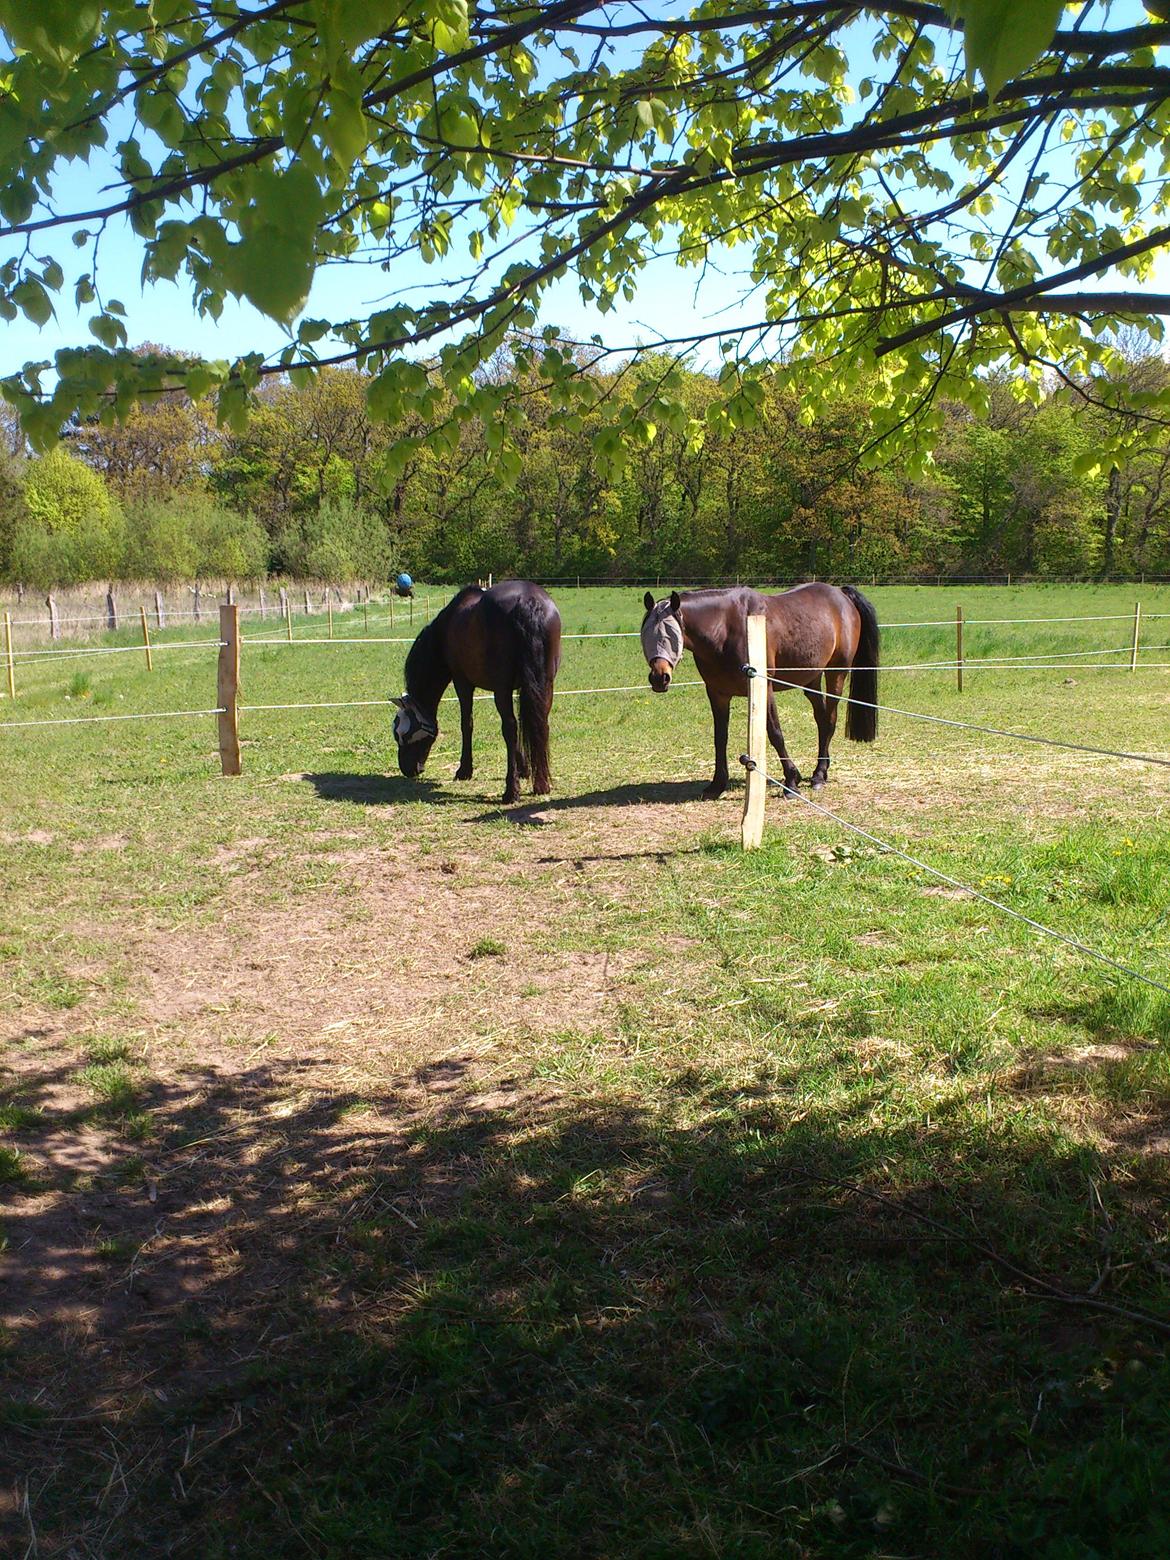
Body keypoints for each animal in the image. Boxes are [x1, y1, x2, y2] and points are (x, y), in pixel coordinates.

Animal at [391, 583, 564, 804]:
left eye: (402, 734)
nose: (407, 769)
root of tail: (528, 600)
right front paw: (524, 769)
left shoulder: (462, 682)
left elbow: (467, 723)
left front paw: (464, 770)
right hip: (545, 684)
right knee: (540, 723)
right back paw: (541, 784)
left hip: (501, 688)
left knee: (509, 728)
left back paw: (511, 791)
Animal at [642, 586, 879, 804]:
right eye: (645, 634)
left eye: (670, 635)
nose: (659, 678)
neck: (725, 629)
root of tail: (841, 593)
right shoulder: (717, 694)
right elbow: (720, 738)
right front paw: (717, 785)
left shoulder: (764, 687)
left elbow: (775, 733)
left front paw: (791, 782)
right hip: (810, 679)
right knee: (821, 720)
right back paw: (821, 771)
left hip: (836, 673)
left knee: (829, 719)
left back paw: (819, 775)